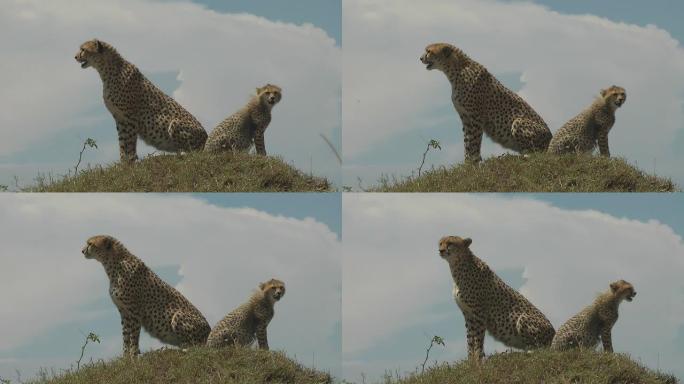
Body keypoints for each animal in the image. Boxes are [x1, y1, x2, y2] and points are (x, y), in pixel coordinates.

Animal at [75, 37, 207, 160]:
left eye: (83, 49)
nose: (75, 56)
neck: (106, 70)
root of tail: (206, 136)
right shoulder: (120, 118)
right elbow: (122, 143)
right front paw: (123, 163)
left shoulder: (130, 118)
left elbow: (129, 143)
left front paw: (130, 161)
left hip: (175, 123)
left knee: (193, 152)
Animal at [420, 43, 552, 162]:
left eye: (429, 51)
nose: (420, 58)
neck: (456, 71)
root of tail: (551, 137)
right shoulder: (465, 118)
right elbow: (467, 142)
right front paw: (467, 164)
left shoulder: (475, 118)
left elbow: (474, 142)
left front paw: (473, 162)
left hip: (518, 121)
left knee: (537, 153)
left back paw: (523, 156)